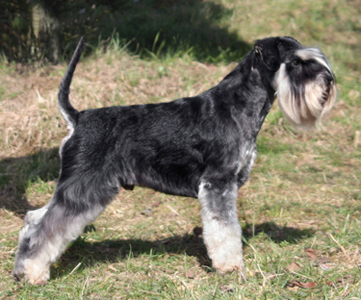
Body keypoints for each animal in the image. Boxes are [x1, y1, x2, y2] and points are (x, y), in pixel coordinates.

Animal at [13, 37, 334, 284]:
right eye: (296, 63)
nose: (329, 81)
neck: (238, 105)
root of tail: (77, 118)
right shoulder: (218, 184)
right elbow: (225, 230)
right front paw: (231, 268)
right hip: (84, 186)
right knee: (46, 227)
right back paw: (33, 273)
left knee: (34, 219)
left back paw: (22, 269)